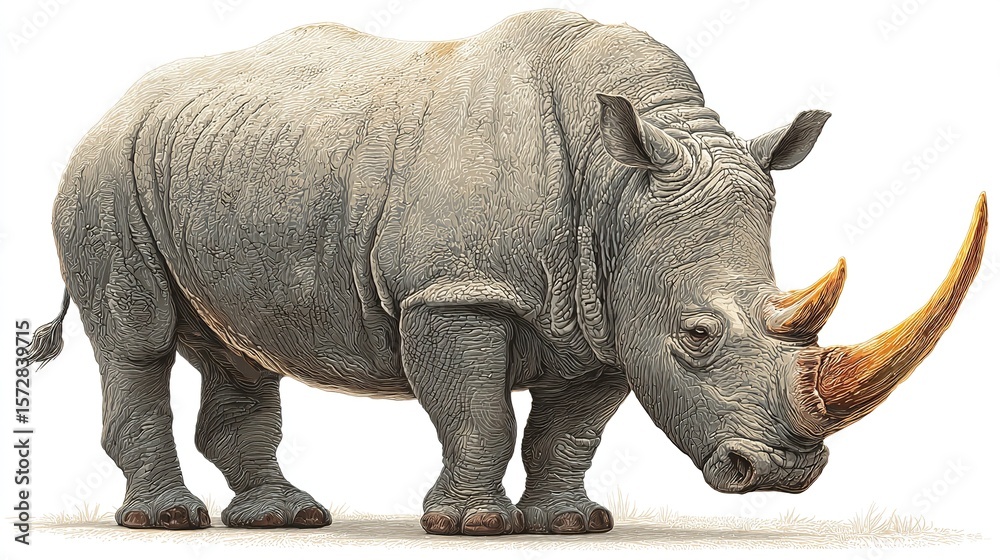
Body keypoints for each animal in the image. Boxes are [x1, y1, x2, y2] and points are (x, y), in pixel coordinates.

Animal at [28, 10, 987, 535]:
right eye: (697, 336)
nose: (785, 474)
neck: (618, 185)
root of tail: (114, 106)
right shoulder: (456, 293)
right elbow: (477, 413)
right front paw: (474, 526)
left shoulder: (609, 313)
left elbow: (569, 431)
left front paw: (569, 524)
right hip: (105, 171)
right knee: (138, 339)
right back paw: (169, 520)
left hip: (223, 166)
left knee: (239, 348)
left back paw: (286, 517)